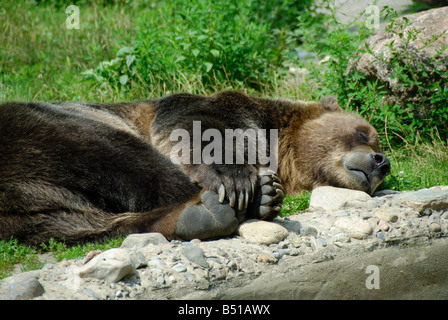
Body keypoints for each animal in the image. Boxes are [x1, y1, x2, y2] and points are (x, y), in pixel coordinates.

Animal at [0, 91, 388, 244]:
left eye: (374, 140)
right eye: (363, 133)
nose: (382, 162)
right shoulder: (208, 109)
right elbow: (198, 132)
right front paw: (238, 180)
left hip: (37, 207)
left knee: (75, 225)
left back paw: (204, 214)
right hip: (50, 128)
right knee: (122, 157)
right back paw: (240, 199)